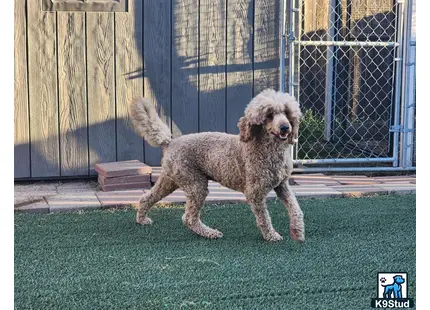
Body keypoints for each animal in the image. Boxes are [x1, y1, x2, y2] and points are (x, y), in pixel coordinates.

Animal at [129, 88, 304, 241]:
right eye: (269, 115)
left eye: (287, 112)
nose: (285, 127)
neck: (266, 148)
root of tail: (170, 142)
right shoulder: (255, 193)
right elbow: (264, 218)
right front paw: (271, 236)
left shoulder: (282, 185)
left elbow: (295, 208)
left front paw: (298, 231)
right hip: (195, 183)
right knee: (188, 218)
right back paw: (209, 233)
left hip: (170, 180)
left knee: (147, 197)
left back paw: (141, 219)